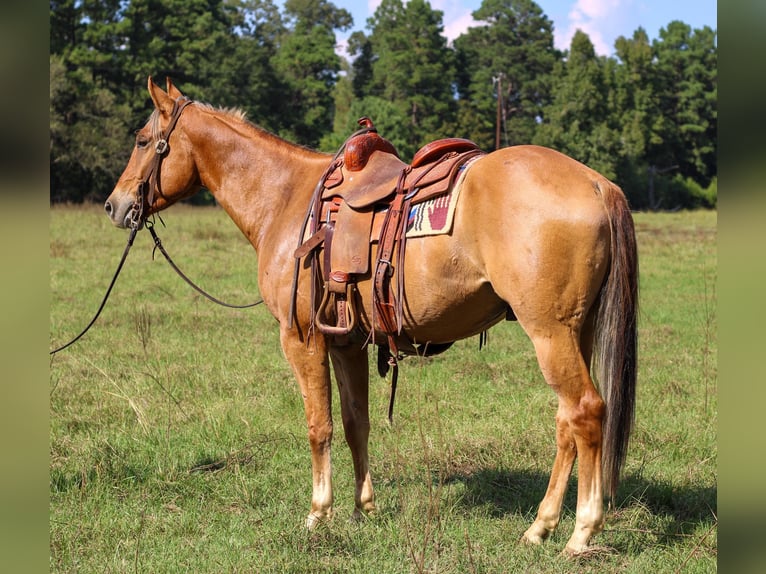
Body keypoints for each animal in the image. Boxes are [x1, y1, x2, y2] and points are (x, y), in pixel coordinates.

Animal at [105, 79, 640, 556]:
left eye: (142, 140)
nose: (115, 205)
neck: (285, 197)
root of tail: (598, 182)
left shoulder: (301, 339)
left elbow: (318, 426)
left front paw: (319, 512)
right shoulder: (346, 341)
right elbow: (353, 423)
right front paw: (365, 508)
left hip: (549, 333)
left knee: (585, 412)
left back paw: (580, 533)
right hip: (575, 333)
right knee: (566, 422)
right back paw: (540, 527)